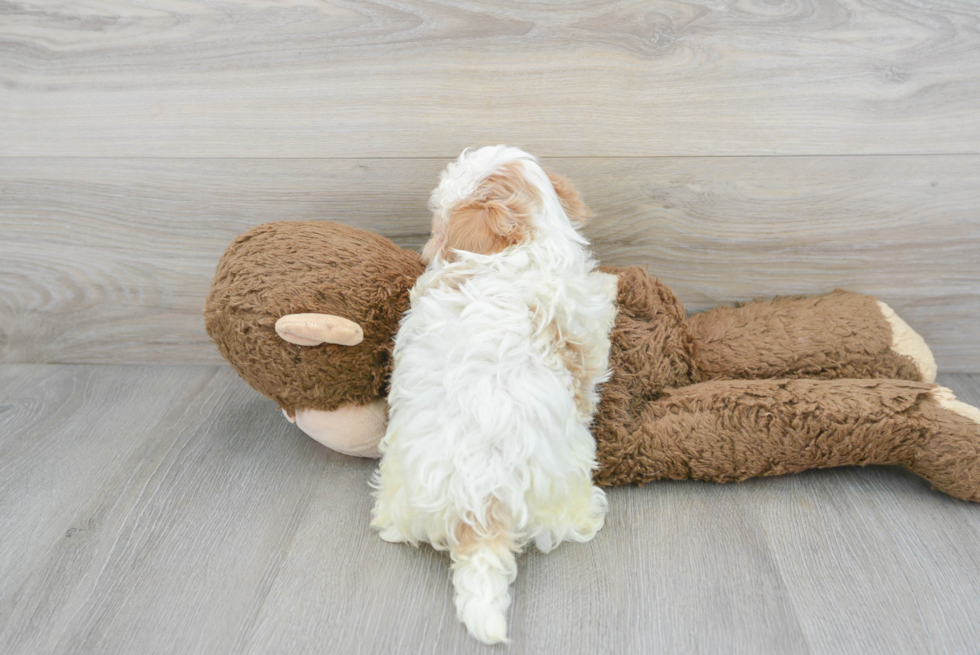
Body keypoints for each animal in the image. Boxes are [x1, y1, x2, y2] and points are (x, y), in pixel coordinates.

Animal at [372, 145, 616, 644]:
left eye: (436, 222)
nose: (428, 248)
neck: (519, 248)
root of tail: (479, 512)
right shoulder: (586, 339)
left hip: (397, 489)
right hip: (567, 488)